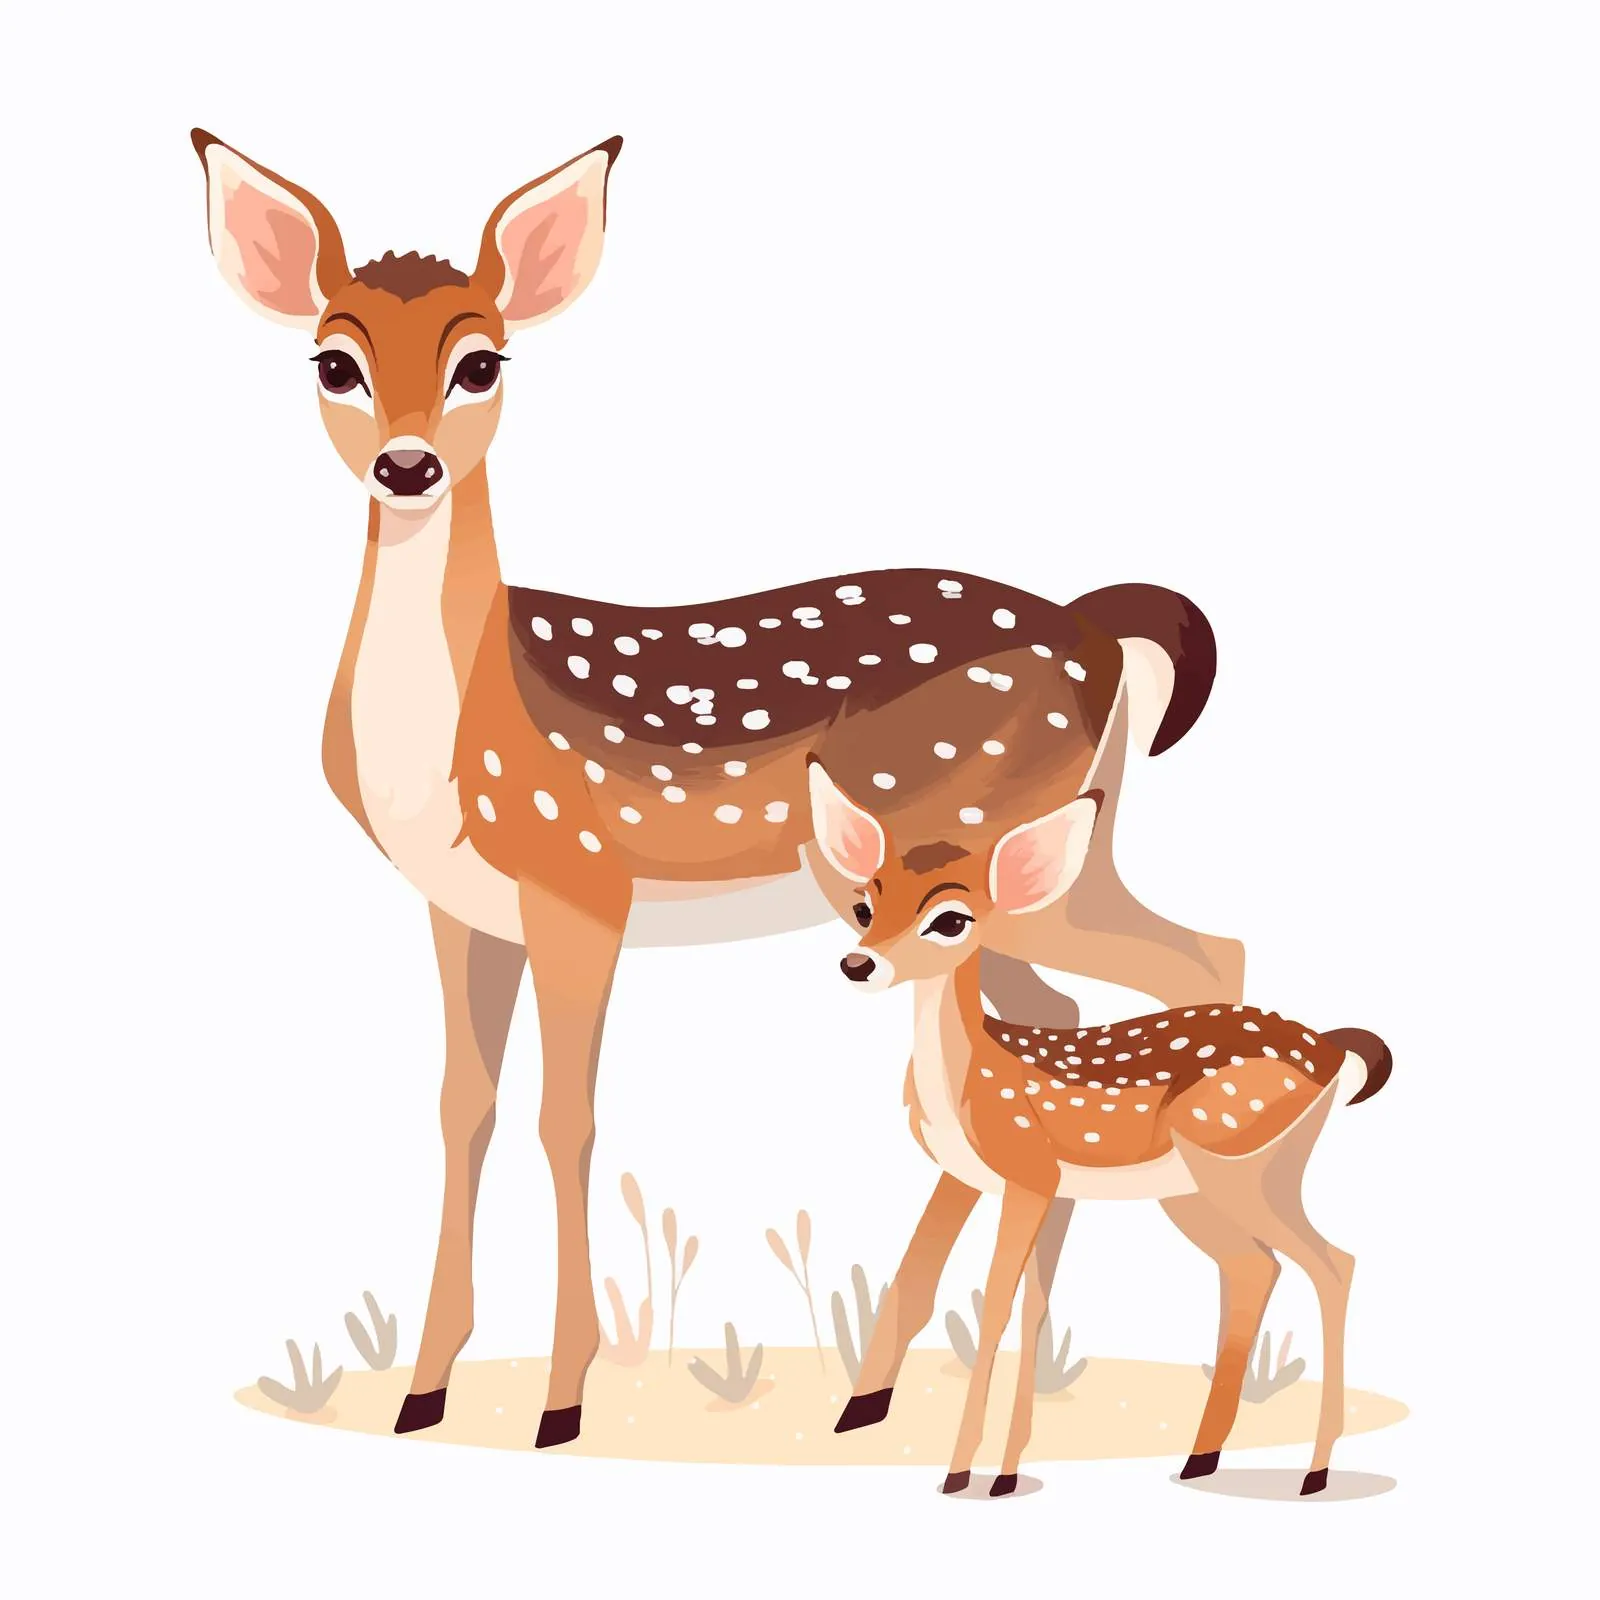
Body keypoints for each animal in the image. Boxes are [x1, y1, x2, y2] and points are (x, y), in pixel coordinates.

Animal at [188, 127, 1246, 1450]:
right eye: (334, 361)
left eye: (482, 359)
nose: (407, 463)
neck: (459, 736)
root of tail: (1103, 635)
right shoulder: (459, 906)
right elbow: (461, 1104)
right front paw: (423, 1389)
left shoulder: (582, 880)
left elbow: (567, 1113)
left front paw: (561, 1402)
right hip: (1024, 869)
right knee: (1079, 1002)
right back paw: (904, 1378)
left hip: (993, 850)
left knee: (1195, 959)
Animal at [806, 759, 1388, 1494]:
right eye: (865, 905)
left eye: (951, 919)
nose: (859, 964)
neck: (969, 1083)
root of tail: (1335, 1053)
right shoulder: (1039, 1187)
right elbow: (1030, 1306)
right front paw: (1003, 1473)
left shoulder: (1030, 1173)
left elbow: (998, 1305)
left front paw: (960, 1474)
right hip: (1200, 1187)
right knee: (1256, 1268)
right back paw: (1201, 1459)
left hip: (1238, 1163)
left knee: (1332, 1263)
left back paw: (1313, 1473)